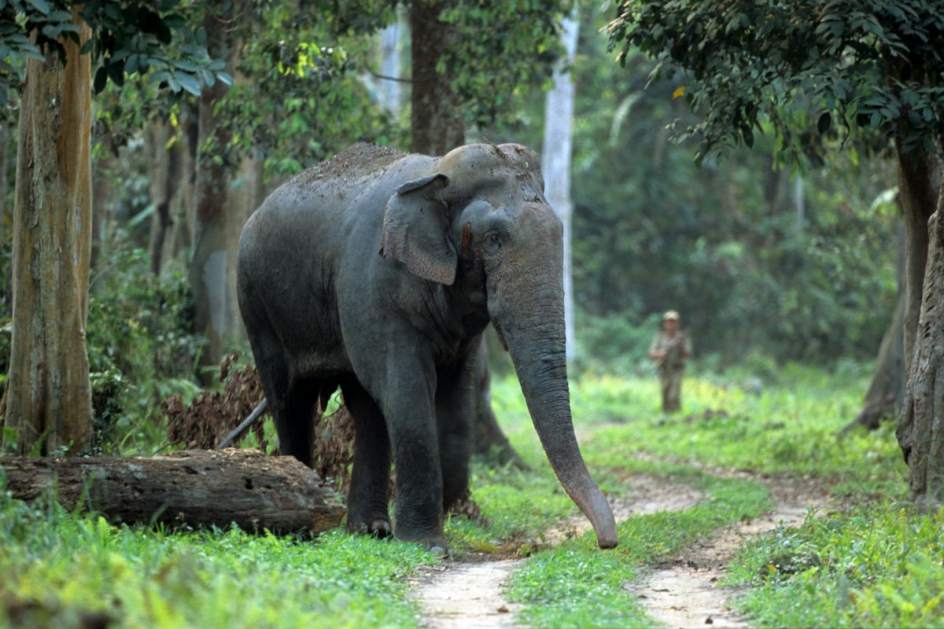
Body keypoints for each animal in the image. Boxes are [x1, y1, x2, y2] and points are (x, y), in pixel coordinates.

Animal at [236, 140, 620, 548]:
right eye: (494, 239)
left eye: (560, 232)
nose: (606, 542)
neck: (436, 172)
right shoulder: (374, 285)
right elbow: (406, 388)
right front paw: (428, 542)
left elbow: (455, 394)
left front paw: (443, 508)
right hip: (255, 302)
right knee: (290, 399)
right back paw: (301, 518)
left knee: (366, 408)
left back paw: (372, 529)